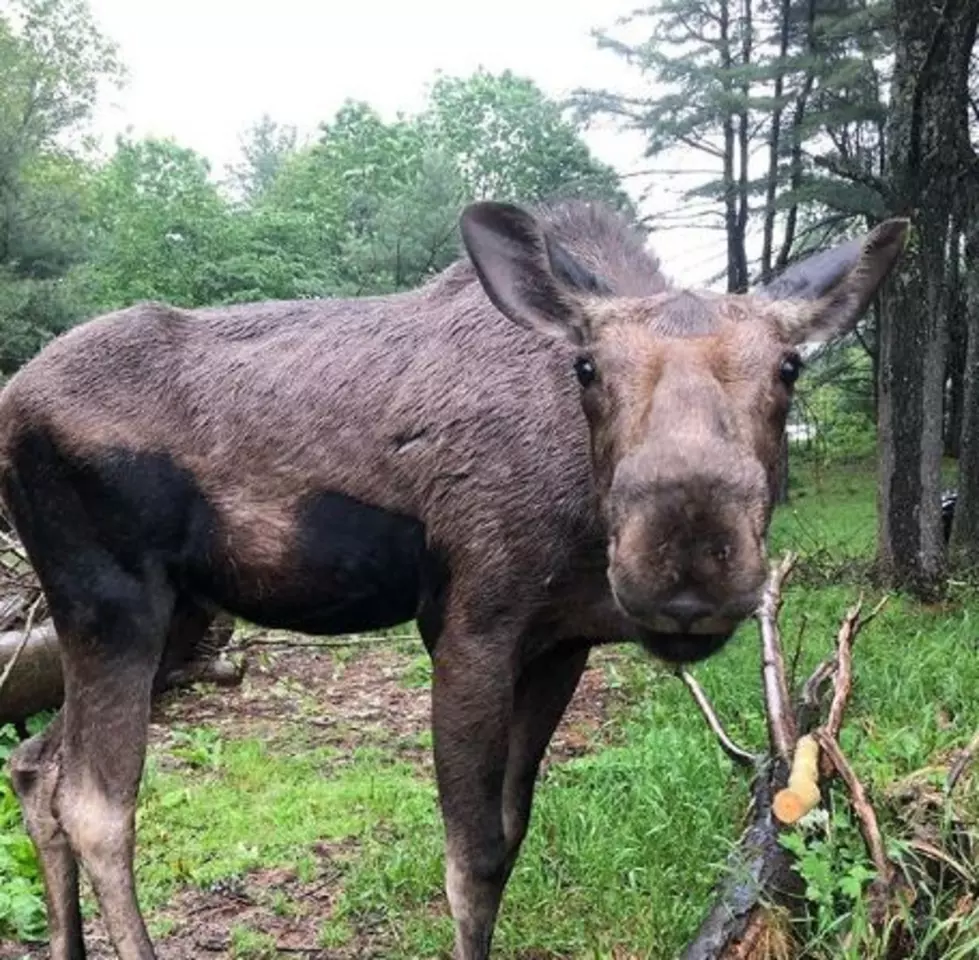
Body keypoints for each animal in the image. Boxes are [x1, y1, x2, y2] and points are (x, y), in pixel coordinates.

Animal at [0, 197, 912, 960]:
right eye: (586, 368)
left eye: (789, 366)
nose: (685, 568)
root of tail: (11, 406)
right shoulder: (471, 624)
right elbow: (469, 860)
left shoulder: (562, 643)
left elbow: (510, 835)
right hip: (112, 601)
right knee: (97, 805)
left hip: (178, 615)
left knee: (38, 766)